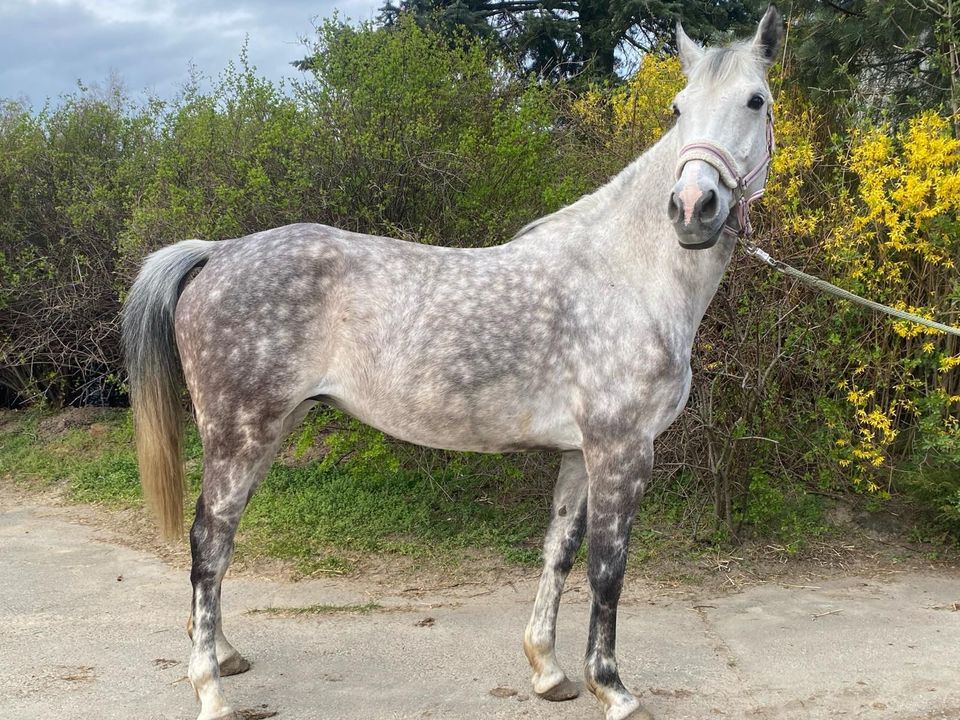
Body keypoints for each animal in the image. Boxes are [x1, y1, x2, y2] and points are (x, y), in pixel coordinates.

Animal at [122, 7, 780, 720]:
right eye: (678, 108)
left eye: (756, 100)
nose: (693, 208)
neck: (628, 275)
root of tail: (216, 252)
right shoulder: (622, 448)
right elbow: (608, 568)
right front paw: (613, 688)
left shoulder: (581, 452)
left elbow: (560, 554)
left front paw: (549, 671)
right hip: (239, 433)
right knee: (207, 541)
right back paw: (210, 688)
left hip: (268, 431)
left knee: (223, 538)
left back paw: (225, 655)